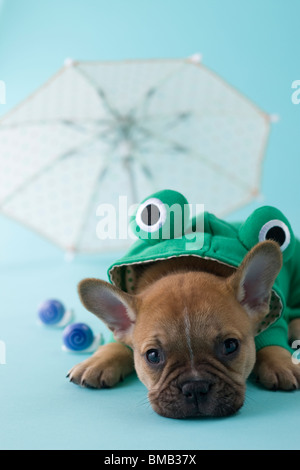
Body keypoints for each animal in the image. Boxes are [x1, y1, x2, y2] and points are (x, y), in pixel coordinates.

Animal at [68, 242, 300, 418]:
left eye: (230, 345)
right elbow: (116, 343)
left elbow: (272, 339)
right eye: (153, 355)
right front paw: (98, 361)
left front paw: (283, 363)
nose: (195, 388)